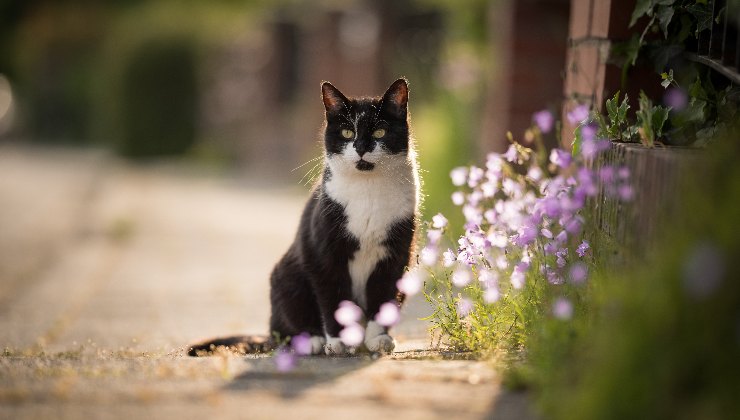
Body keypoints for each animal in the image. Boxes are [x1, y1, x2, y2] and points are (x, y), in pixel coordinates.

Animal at [191, 78, 420, 354]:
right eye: (347, 133)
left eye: (380, 133)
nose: (361, 148)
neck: (368, 190)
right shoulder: (323, 253)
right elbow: (333, 299)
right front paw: (339, 342)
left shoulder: (396, 254)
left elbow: (384, 296)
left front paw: (378, 338)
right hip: (287, 277)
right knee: (283, 330)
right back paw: (311, 341)